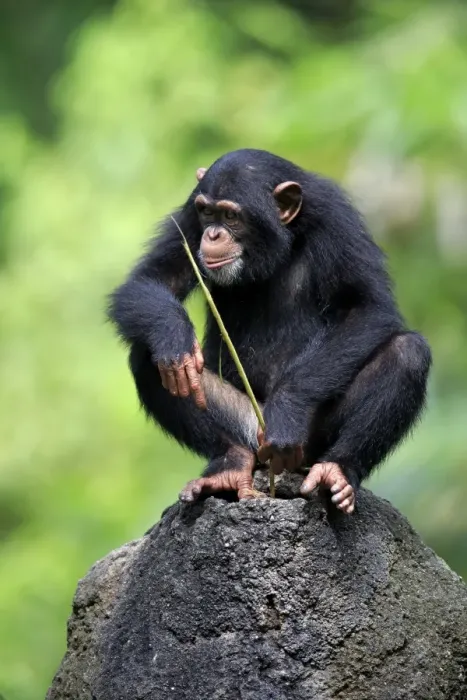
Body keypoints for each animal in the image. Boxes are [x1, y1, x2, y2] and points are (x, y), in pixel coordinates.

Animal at [108, 149, 431, 514]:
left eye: (231, 216)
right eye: (207, 212)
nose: (213, 234)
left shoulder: (337, 218)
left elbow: (366, 306)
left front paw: (288, 410)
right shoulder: (188, 216)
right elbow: (153, 279)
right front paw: (174, 338)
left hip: (308, 444)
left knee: (407, 353)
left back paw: (337, 471)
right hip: (248, 428)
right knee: (147, 356)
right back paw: (229, 464)